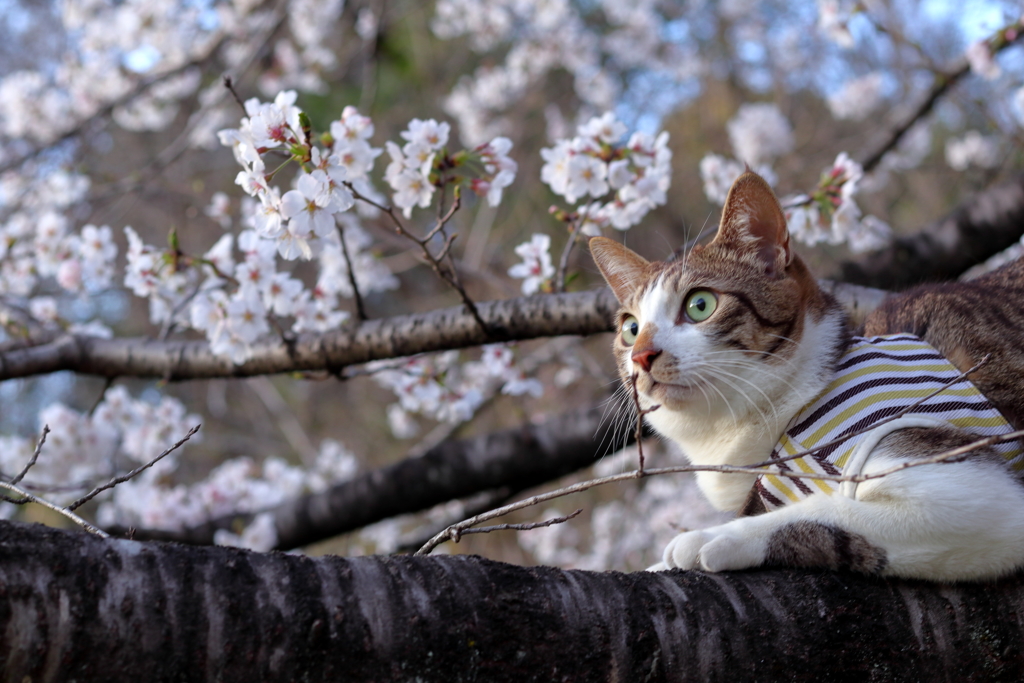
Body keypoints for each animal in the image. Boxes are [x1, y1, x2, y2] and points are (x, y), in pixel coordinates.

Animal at [589, 172, 1024, 581]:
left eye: (700, 305)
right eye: (630, 329)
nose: (642, 355)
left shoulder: (969, 487)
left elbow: (829, 509)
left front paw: (713, 536)